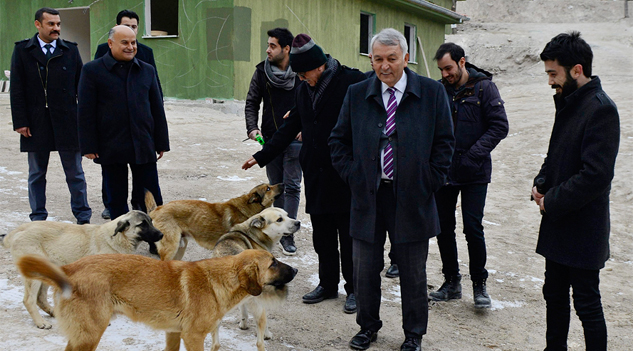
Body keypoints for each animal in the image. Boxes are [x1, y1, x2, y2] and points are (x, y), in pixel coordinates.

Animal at [1, 212, 163, 330]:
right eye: (142, 224)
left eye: (151, 221)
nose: (161, 234)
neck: (117, 239)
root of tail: (16, 231)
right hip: (34, 275)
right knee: (29, 300)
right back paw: (40, 323)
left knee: (40, 297)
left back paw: (53, 313)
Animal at [16, 250, 298, 351]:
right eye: (273, 263)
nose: (296, 270)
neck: (218, 280)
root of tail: (70, 268)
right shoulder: (193, 337)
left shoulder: (174, 333)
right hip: (89, 335)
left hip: (82, 335)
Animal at [212, 208, 302, 350]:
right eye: (279, 219)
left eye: (287, 215)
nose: (298, 223)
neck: (254, 234)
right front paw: (266, 334)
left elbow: (243, 310)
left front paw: (243, 324)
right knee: (260, 340)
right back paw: (266, 335)